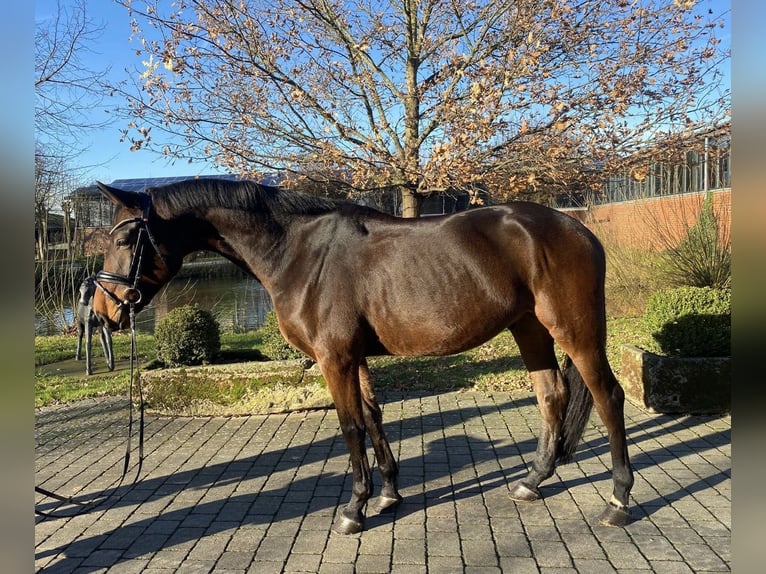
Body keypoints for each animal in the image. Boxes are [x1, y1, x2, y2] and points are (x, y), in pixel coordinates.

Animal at [94, 179, 636, 536]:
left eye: (123, 239)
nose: (102, 311)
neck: (300, 254)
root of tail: (578, 227)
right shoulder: (354, 358)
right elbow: (374, 416)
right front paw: (389, 493)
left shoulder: (333, 359)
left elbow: (351, 426)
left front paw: (354, 509)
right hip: (529, 328)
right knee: (552, 395)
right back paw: (532, 480)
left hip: (574, 330)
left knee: (608, 396)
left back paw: (618, 499)